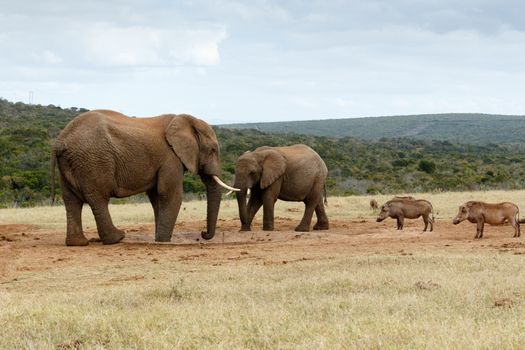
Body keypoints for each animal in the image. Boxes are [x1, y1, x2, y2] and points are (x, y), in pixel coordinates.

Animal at [50, 110, 236, 246]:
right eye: (213, 150)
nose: (203, 234)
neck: (186, 120)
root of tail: (60, 141)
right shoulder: (170, 158)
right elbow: (170, 194)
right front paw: (163, 241)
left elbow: (156, 197)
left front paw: (159, 239)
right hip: (93, 161)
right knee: (98, 198)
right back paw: (117, 238)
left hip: (71, 164)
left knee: (71, 201)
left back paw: (78, 243)